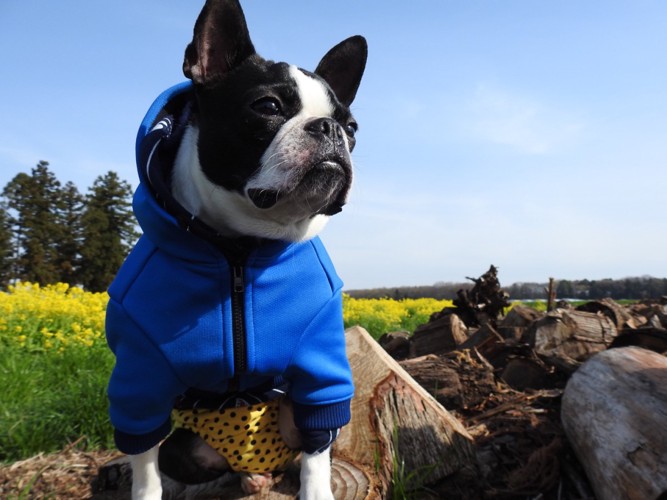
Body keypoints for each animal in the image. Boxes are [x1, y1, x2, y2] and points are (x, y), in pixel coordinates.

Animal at [104, 0, 368, 498]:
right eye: (267, 106)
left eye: (352, 127)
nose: (330, 129)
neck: (240, 250)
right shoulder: (139, 379)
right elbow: (144, 463)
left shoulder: (320, 369)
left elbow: (318, 454)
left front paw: (318, 490)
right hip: (185, 446)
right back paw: (249, 476)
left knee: (305, 445)